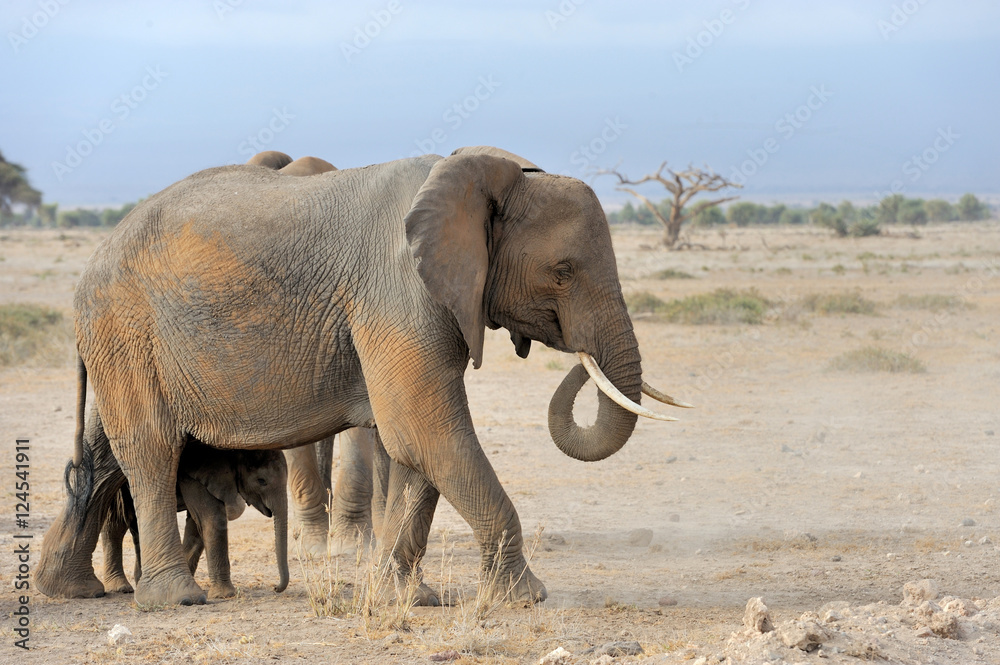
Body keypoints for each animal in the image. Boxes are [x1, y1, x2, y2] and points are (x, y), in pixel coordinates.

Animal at [100, 440, 288, 599]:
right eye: (261, 481)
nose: (275, 588)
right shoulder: (196, 473)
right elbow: (211, 518)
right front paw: (224, 595)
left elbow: (196, 524)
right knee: (120, 523)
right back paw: (124, 587)